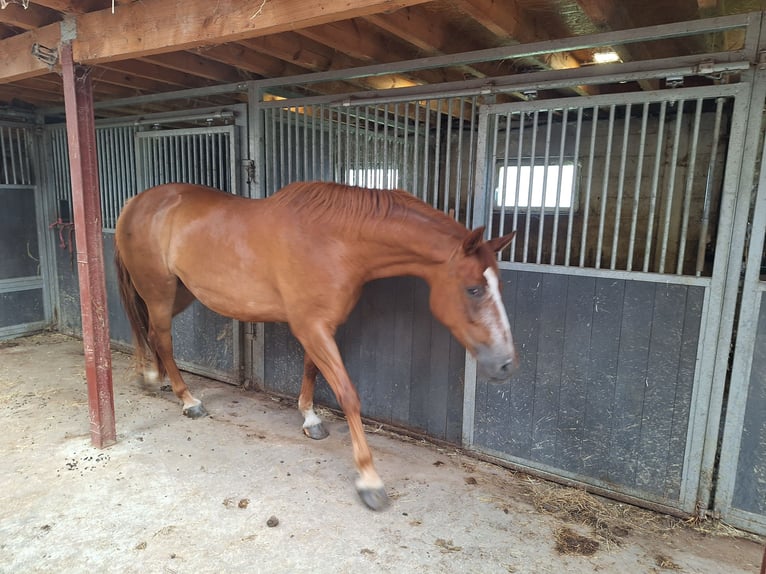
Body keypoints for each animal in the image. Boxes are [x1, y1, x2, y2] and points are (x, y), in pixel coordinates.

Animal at [114, 181, 517, 510]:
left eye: (499, 285)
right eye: (474, 289)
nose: (506, 365)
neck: (335, 240)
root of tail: (136, 202)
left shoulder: (319, 325)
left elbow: (311, 369)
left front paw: (310, 419)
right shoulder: (312, 326)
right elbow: (348, 394)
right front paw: (369, 479)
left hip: (179, 293)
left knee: (152, 334)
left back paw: (156, 379)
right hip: (160, 291)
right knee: (163, 339)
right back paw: (188, 399)